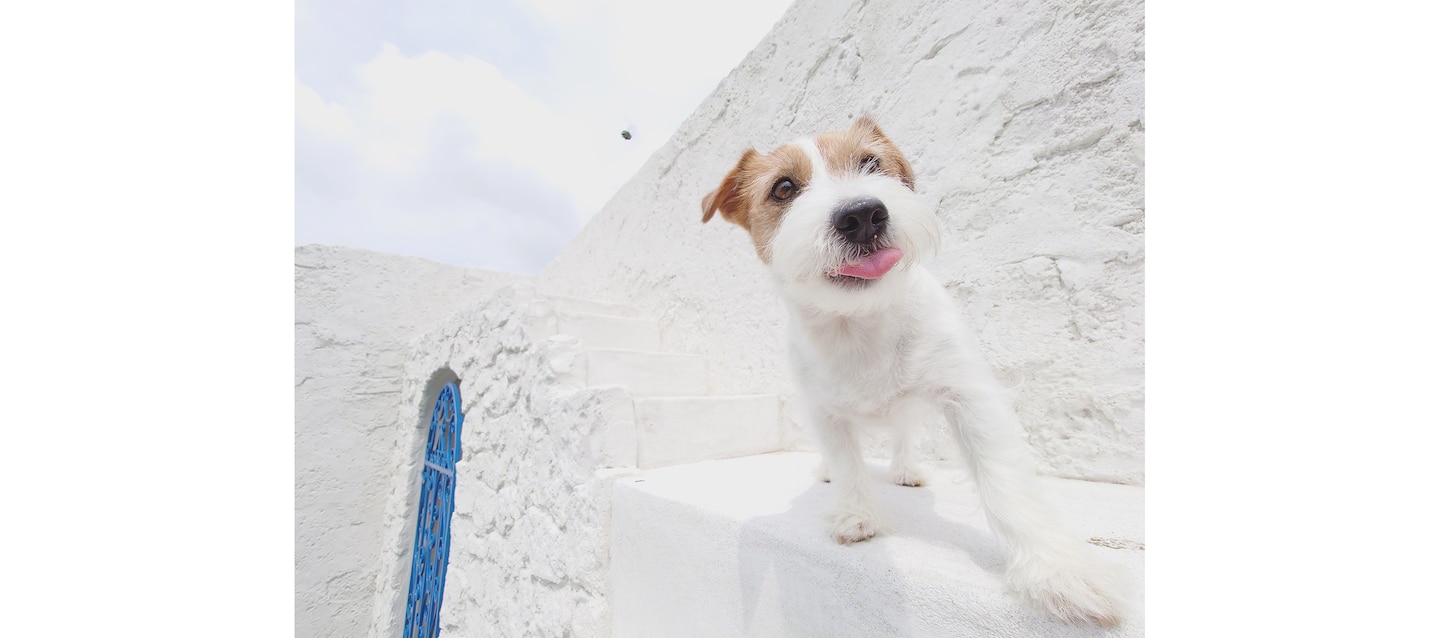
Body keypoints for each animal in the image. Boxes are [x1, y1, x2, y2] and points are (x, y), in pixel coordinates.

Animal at [702, 117, 1128, 627]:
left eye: (871, 162)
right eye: (783, 188)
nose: (863, 214)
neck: (860, 321)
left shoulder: (968, 398)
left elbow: (1004, 481)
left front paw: (1057, 571)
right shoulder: (824, 414)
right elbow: (847, 463)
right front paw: (855, 513)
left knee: (904, 435)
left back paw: (906, 468)